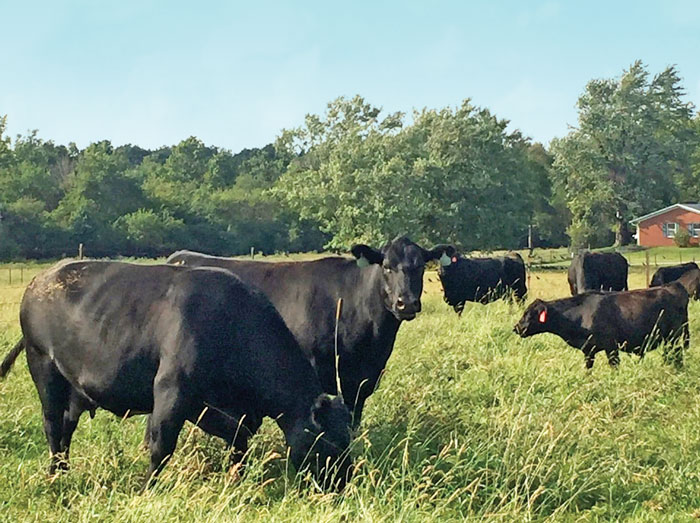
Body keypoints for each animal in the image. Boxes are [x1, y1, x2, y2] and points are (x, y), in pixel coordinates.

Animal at [0, 262, 350, 492]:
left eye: (349, 439)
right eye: (330, 443)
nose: (343, 484)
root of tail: (40, 280)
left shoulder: (215, 408)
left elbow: (239, 442)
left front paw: (236, 479)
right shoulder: (172, 391)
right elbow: (162, 446)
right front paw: (147, 490)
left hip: (74, 388)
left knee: (66, 427)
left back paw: (63, 470)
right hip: (44, 367)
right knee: (52, 425)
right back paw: (55, 475)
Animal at [516, 284, 688, 370]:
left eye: (528, 314)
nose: (516, 328)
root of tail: (673, 287)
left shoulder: (611, 346)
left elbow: (614, 366)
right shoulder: (588, 350)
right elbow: (588, 368)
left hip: (673, 337)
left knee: (676, 355)